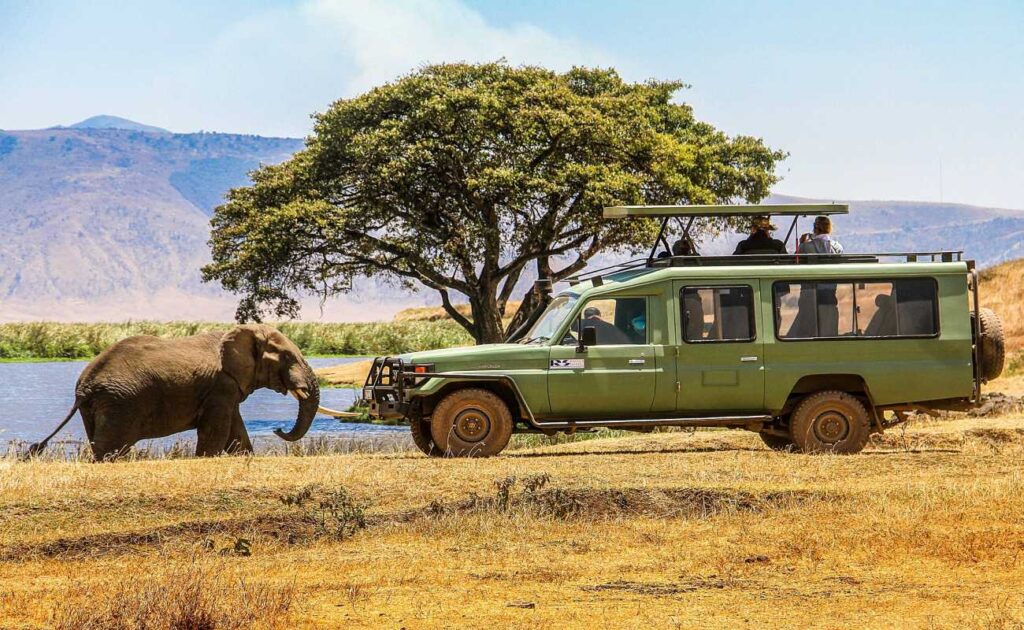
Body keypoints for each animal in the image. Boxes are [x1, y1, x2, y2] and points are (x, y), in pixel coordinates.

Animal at [28, 323, 337, 460]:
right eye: (287, 357)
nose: (277, 429)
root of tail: (83, 386)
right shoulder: (220, 387)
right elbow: (216, 431)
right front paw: (206, 460)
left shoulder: (227, 388)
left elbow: (236, 430)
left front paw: (244, 457)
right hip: (118, 403)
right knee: (111, 447)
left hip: (98, 406)